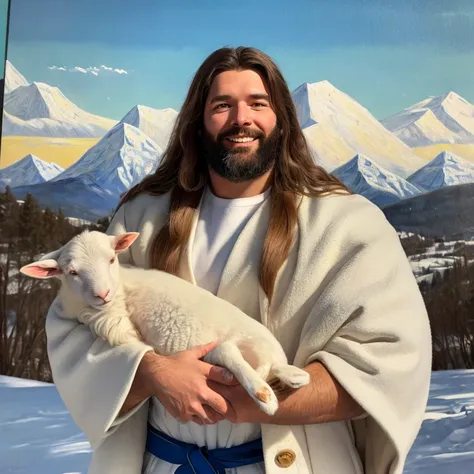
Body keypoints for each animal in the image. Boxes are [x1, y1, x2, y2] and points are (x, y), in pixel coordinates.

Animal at [20, 230, 312, 414]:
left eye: (112, 259)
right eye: (72, 272)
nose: (102, 293)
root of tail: (274, 360)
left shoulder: (113, 319)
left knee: (232, 354)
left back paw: (265, 398)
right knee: (227, 351)